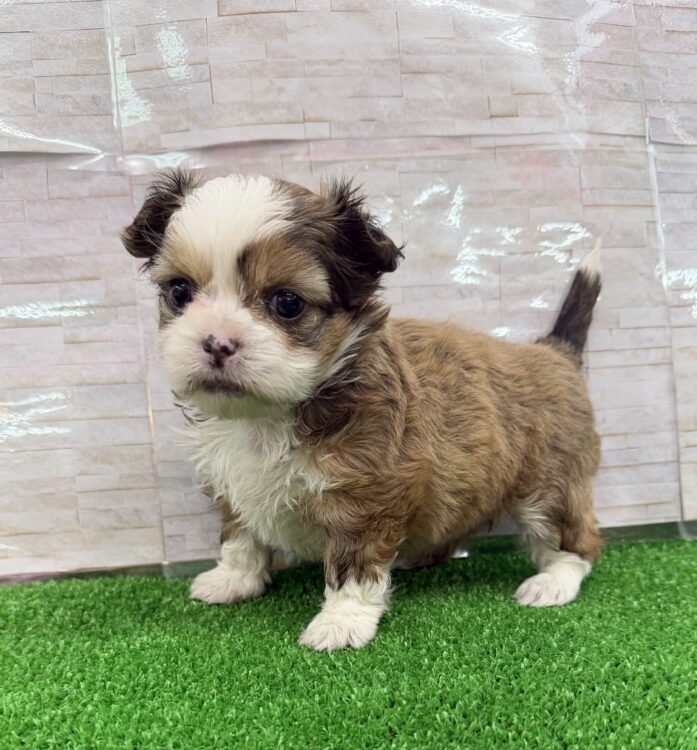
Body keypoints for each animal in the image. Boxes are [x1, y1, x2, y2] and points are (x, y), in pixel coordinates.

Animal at [122, 169, 603, 651]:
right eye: (179, 291)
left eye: (287, 303)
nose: (217, 343)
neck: (270, 415)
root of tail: (553, 350)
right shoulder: (230, 483)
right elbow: (240, 536)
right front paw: (233, 579)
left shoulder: (365, 493)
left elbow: (353, 561)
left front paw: (342, 621)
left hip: (551, 484)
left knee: (576, 539)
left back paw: (553, 582)